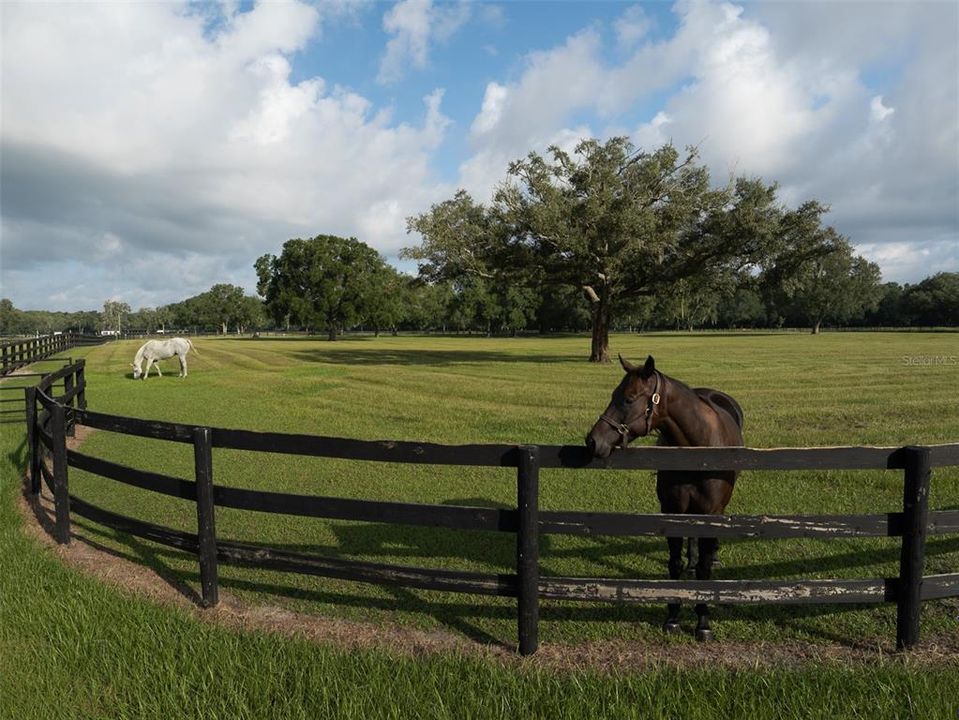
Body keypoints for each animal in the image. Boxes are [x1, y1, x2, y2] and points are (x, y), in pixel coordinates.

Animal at [584, 354, 744, 640]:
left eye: (628, 399)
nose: (592, 441)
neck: (698, 451)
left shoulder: (711, 512)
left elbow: (705, 570)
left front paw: (703, 621)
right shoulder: (672, 510)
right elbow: (675, 564)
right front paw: (673, 617)